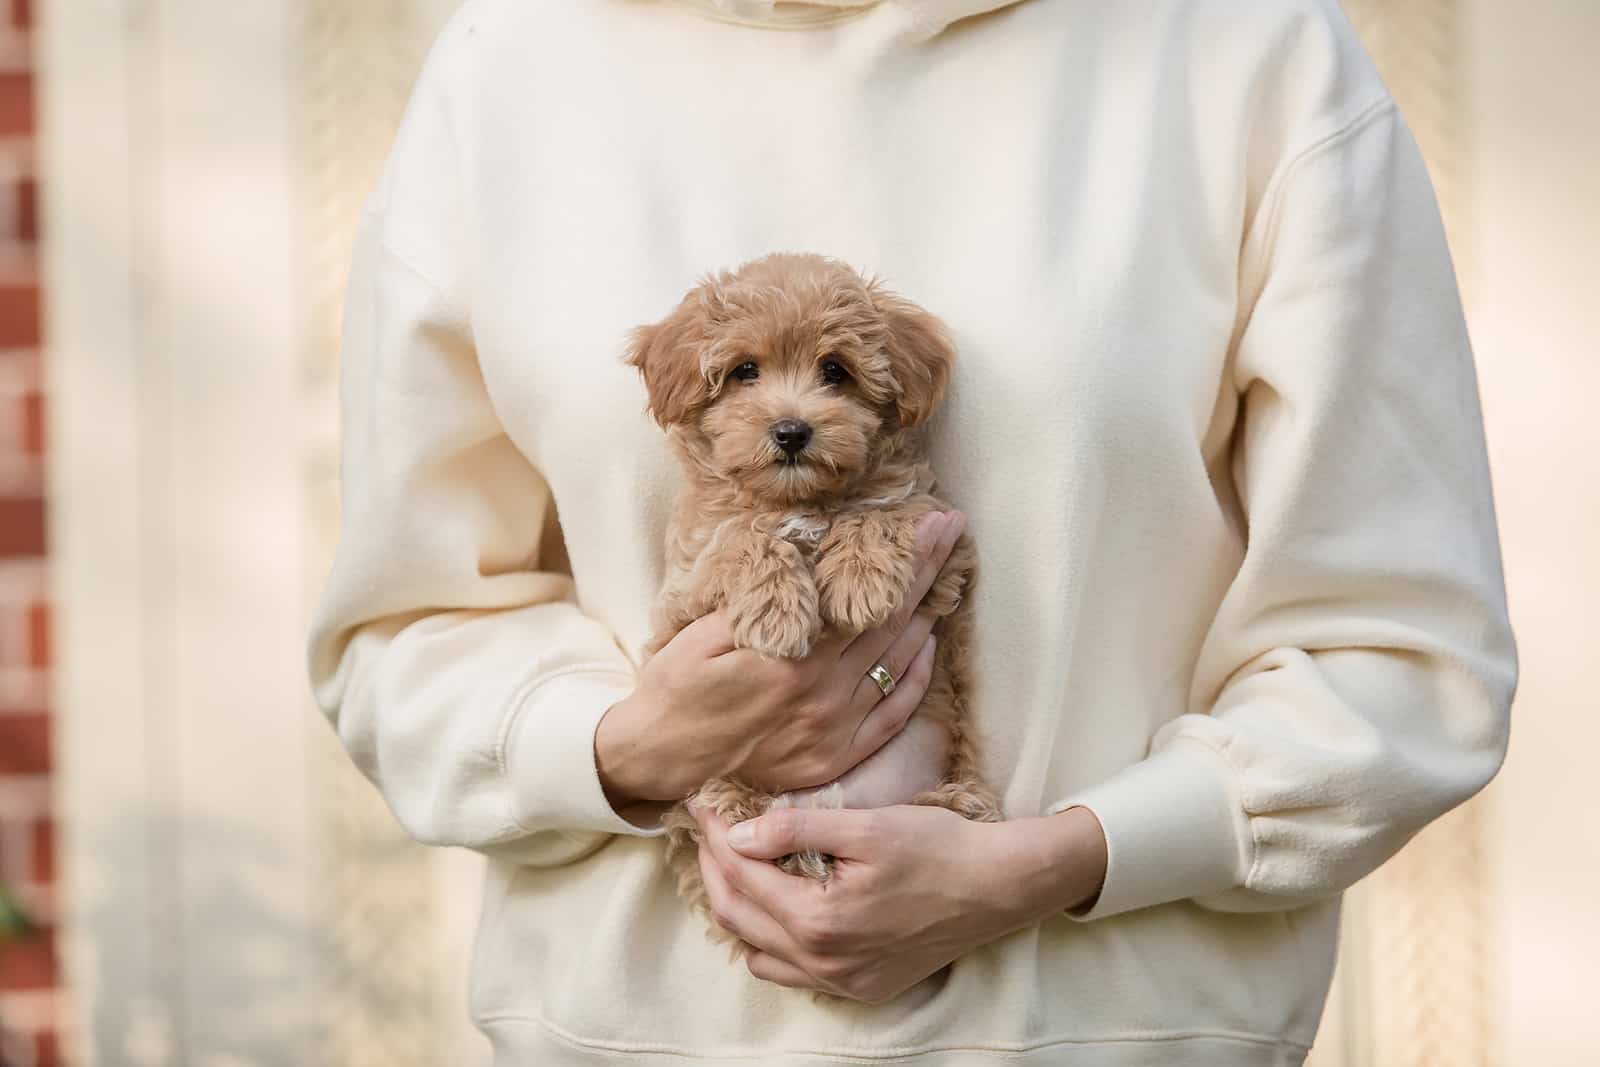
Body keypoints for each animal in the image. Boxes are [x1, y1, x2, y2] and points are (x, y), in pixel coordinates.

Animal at [624, 254, 998, 940]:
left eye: (836, 371)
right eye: (745, 371)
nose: (792, 431)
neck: (799, 501)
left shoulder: (946, 544)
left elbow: (884, 511)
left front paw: (861, 579)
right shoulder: (683, 598)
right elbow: (741, 537)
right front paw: (779, 613)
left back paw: (960, 803)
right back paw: (747, 811)